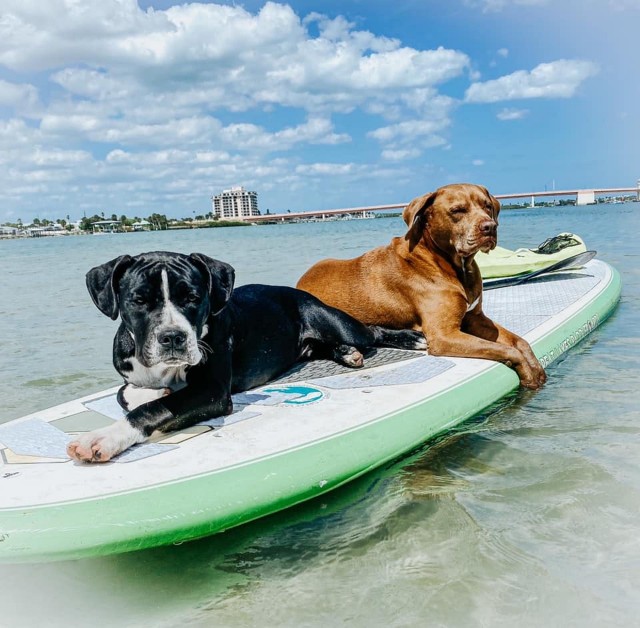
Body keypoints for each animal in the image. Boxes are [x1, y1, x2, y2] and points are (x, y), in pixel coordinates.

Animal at [66, 250, 424, 462]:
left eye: (193, 298)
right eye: (138, 300)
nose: (172, 337)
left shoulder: (210, 392)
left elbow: (151, 409)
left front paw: (103, 438)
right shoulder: (131, 375)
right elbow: (126, 393)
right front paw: (153, 392)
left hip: (336, 322)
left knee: (371, 332)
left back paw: (407, 338)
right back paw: (346, 354)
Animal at [298, 182, 548, 388]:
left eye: (487, 206)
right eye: (457, 210)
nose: (490, 227)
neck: (453, 264)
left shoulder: (476, 318)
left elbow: (519, 341)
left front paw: (536, 367)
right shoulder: (444, 335)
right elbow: (505, 348)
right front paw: (528, 374)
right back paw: (348, 352)